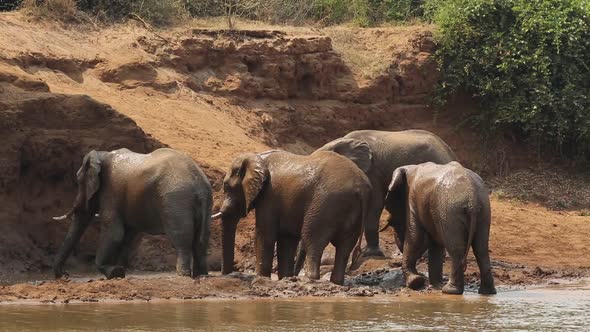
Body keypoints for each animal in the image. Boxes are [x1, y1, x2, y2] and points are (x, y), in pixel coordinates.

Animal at [51, 148, 213, 280]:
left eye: (79, 182)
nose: (65, 275)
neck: (102, 154)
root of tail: (200, 184)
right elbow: (127, 236)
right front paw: (119, 271)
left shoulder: (111, 191)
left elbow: (114, 233)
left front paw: (114, 272)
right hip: (204, 202)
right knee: (201, 240)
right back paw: (202, 275)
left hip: (176, 200)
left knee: (181, 238)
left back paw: (182, 275)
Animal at [213, 148, 372, 286]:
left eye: (226, 186)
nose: (227, 275)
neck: (258, 158)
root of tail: (362, 188)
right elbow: (287, 239)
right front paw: (285, 278)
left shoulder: (269, 196)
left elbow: (265, 235)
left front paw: (262, 278)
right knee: (344, 247)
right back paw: (336, 282)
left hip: (326, 203)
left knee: (312, 239)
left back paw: (310, 279)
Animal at [386, 162, 498, 294]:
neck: (409, 168)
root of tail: (472, 197)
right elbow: (435, 245)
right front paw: (435, 285)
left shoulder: (412, 201)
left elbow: (415, 238)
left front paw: (415, 282)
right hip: (483, 209)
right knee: (481, 249)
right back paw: (487, 292)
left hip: (450, 210)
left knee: (456, 249)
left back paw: (449, 290)